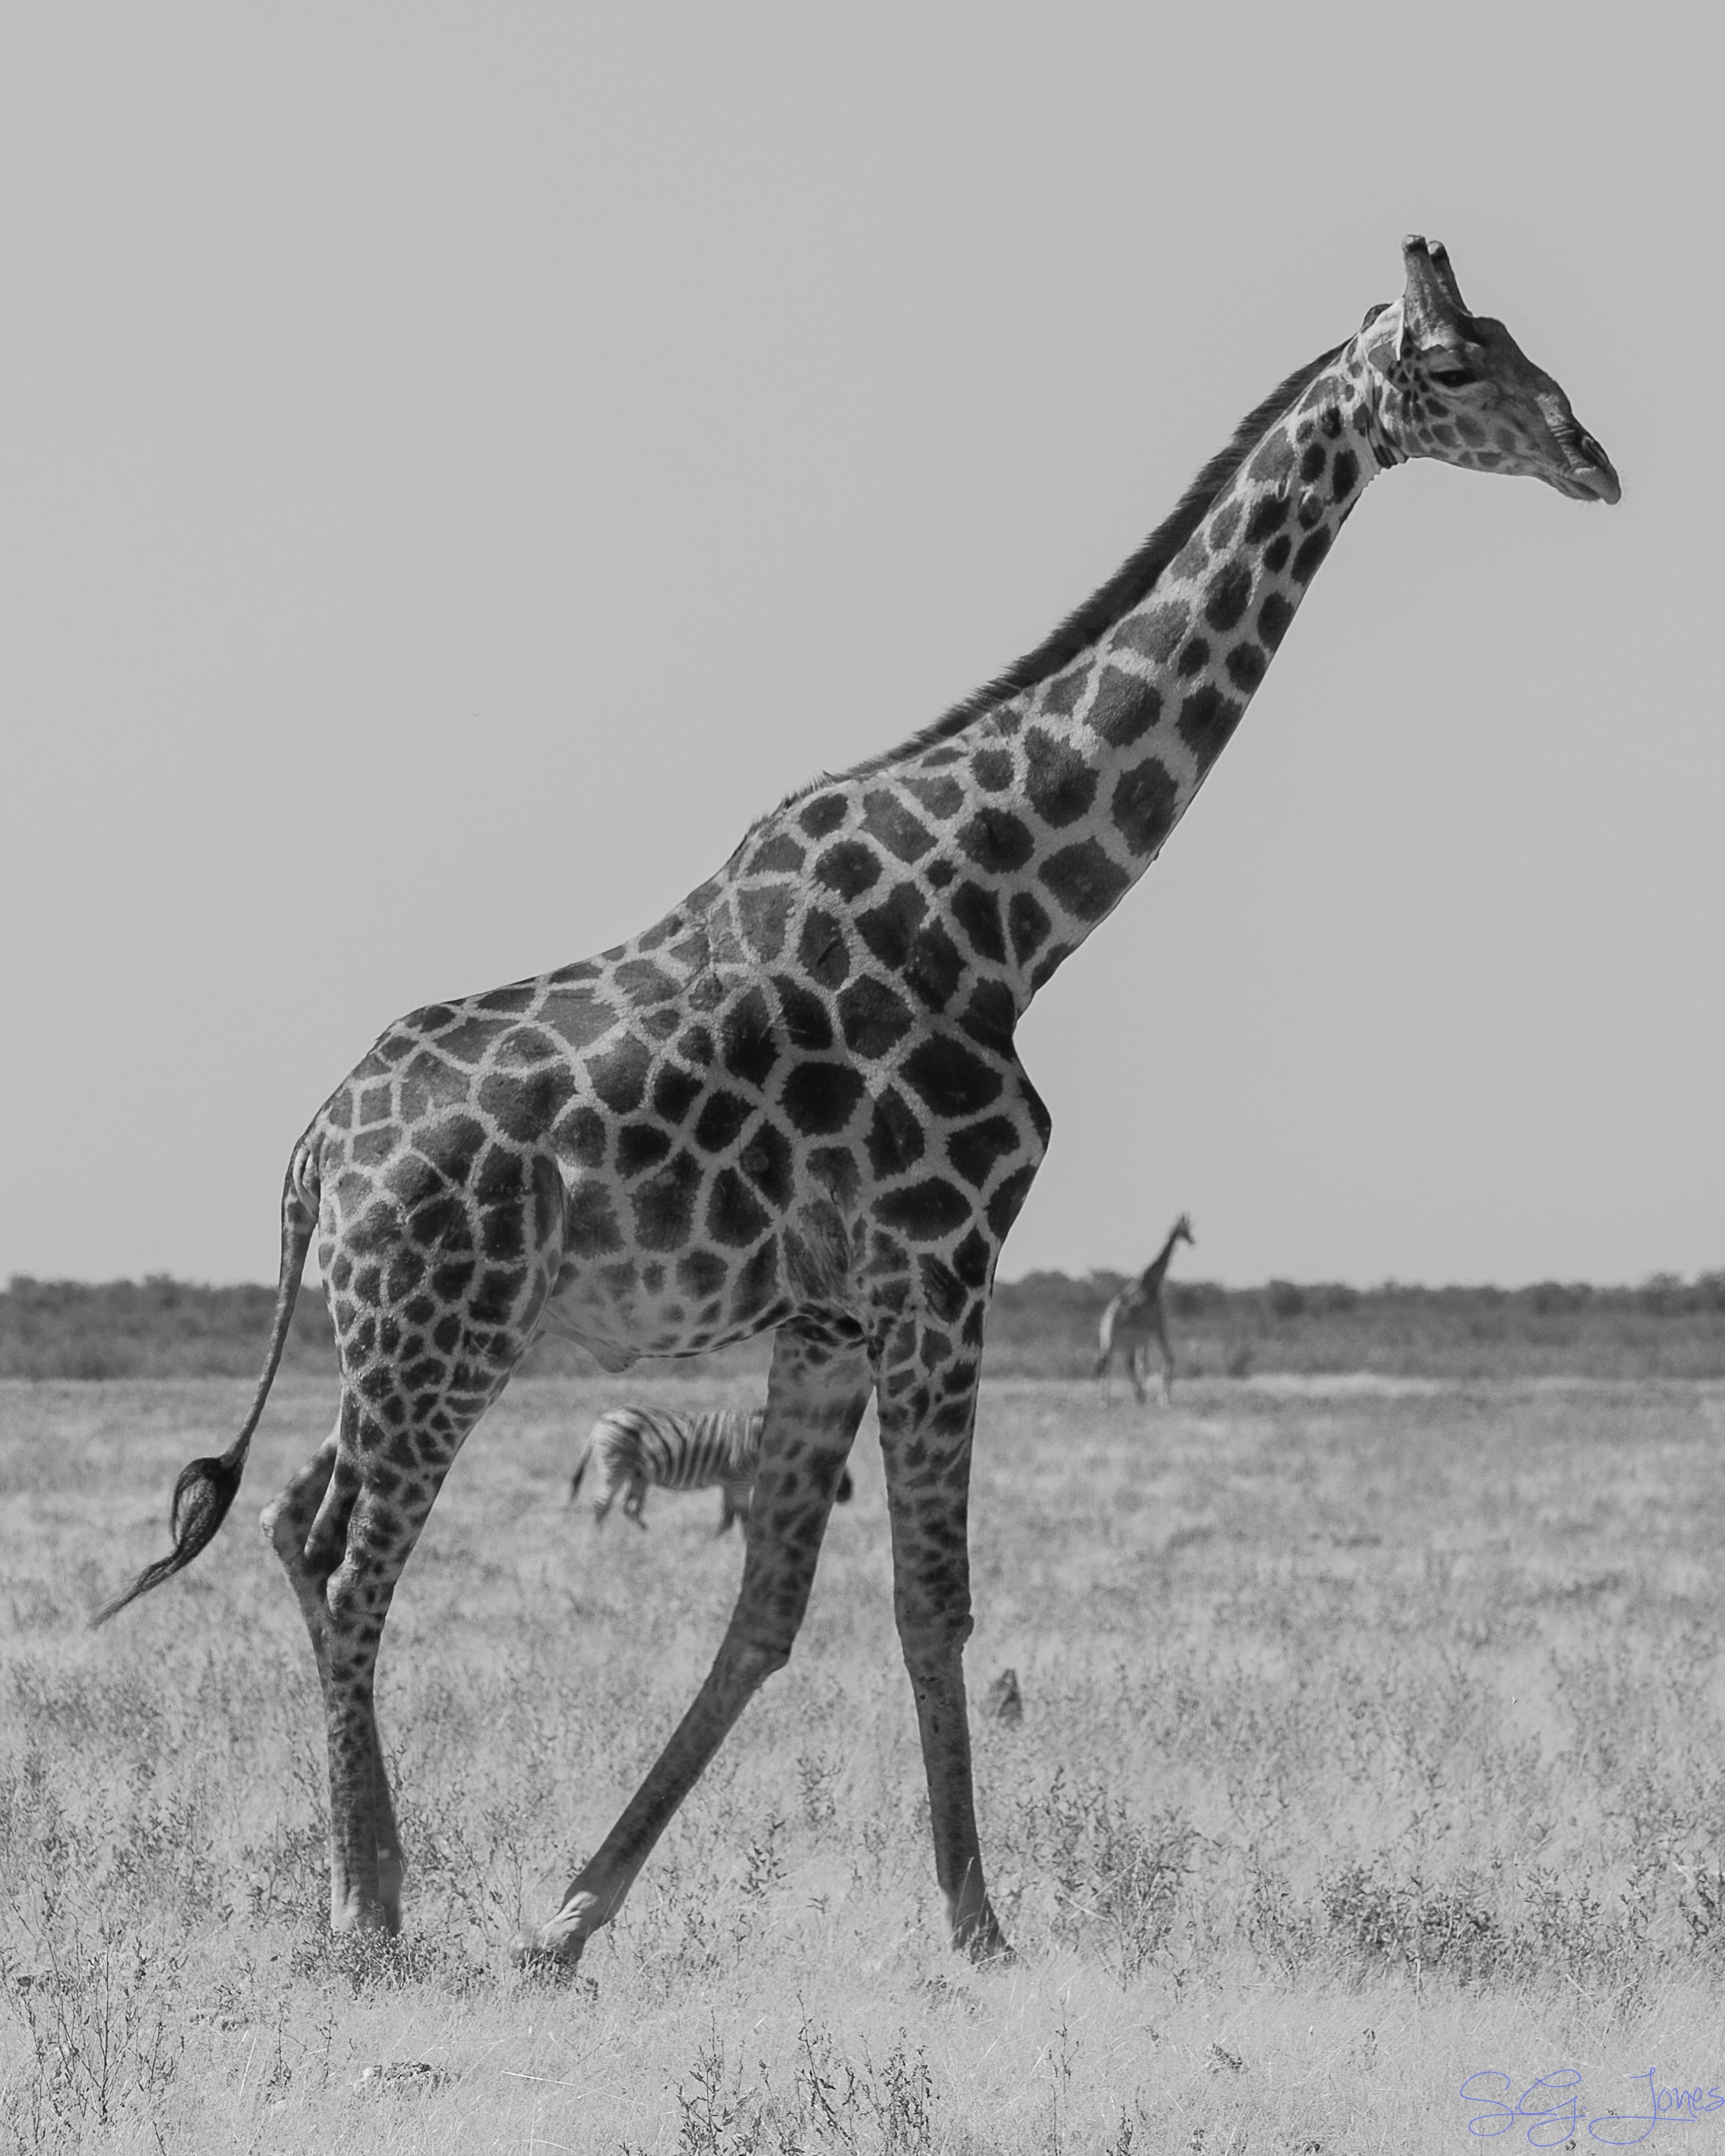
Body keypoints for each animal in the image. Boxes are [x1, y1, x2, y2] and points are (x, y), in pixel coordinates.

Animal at [570, 1405, 855, 1534]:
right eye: (830, 1461)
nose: (849, 1493)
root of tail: (600, 1422)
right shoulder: (740, 1478)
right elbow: (743, 1515)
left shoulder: (731, 1481)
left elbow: (729, 1515)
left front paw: (716, 1542)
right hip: (616, 1466)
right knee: (602, 1503)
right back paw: (600, 1537)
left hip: (639, 1474)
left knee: (628, 1506)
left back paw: (646, 1535)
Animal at [1094, 1214, 1193, 1405]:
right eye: (1185, 1229)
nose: (1193, 1241)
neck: (1152, 1283)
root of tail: (1106, 1320)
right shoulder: (1153, 1327)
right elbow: (1146, 1364)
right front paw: (1147, 1396)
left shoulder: (1142, 1335)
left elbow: (1141, 1364)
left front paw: (1142, 1395)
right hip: (1120, 1339)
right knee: (1111, 1363)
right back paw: (1106, 1400)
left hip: (1109, 1339)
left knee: (1109, 1363)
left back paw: (1107, 1399)